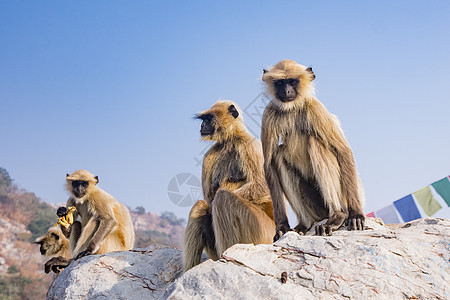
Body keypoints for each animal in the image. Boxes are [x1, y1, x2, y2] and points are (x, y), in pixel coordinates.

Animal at [182, 101, 274, 272]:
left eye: (209, 118)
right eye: (203, 119)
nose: (202, 125)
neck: (230, 140)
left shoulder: (249, 145)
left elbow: (263, 186)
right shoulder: (209, 155)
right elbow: (208, 198)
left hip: (263, 232)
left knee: (222, 198)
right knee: (200, 206)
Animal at [262, 59, 364, 240]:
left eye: (292, 82)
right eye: (280, 83)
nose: (286, 91)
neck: (292, 108)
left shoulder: (315, 108)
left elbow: (343, 151)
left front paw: (356, 215)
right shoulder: (268, 114)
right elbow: (268, 165)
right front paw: (281, 226)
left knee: (314, 141)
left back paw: (338, 215)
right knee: (278, 155)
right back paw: (305, 223)